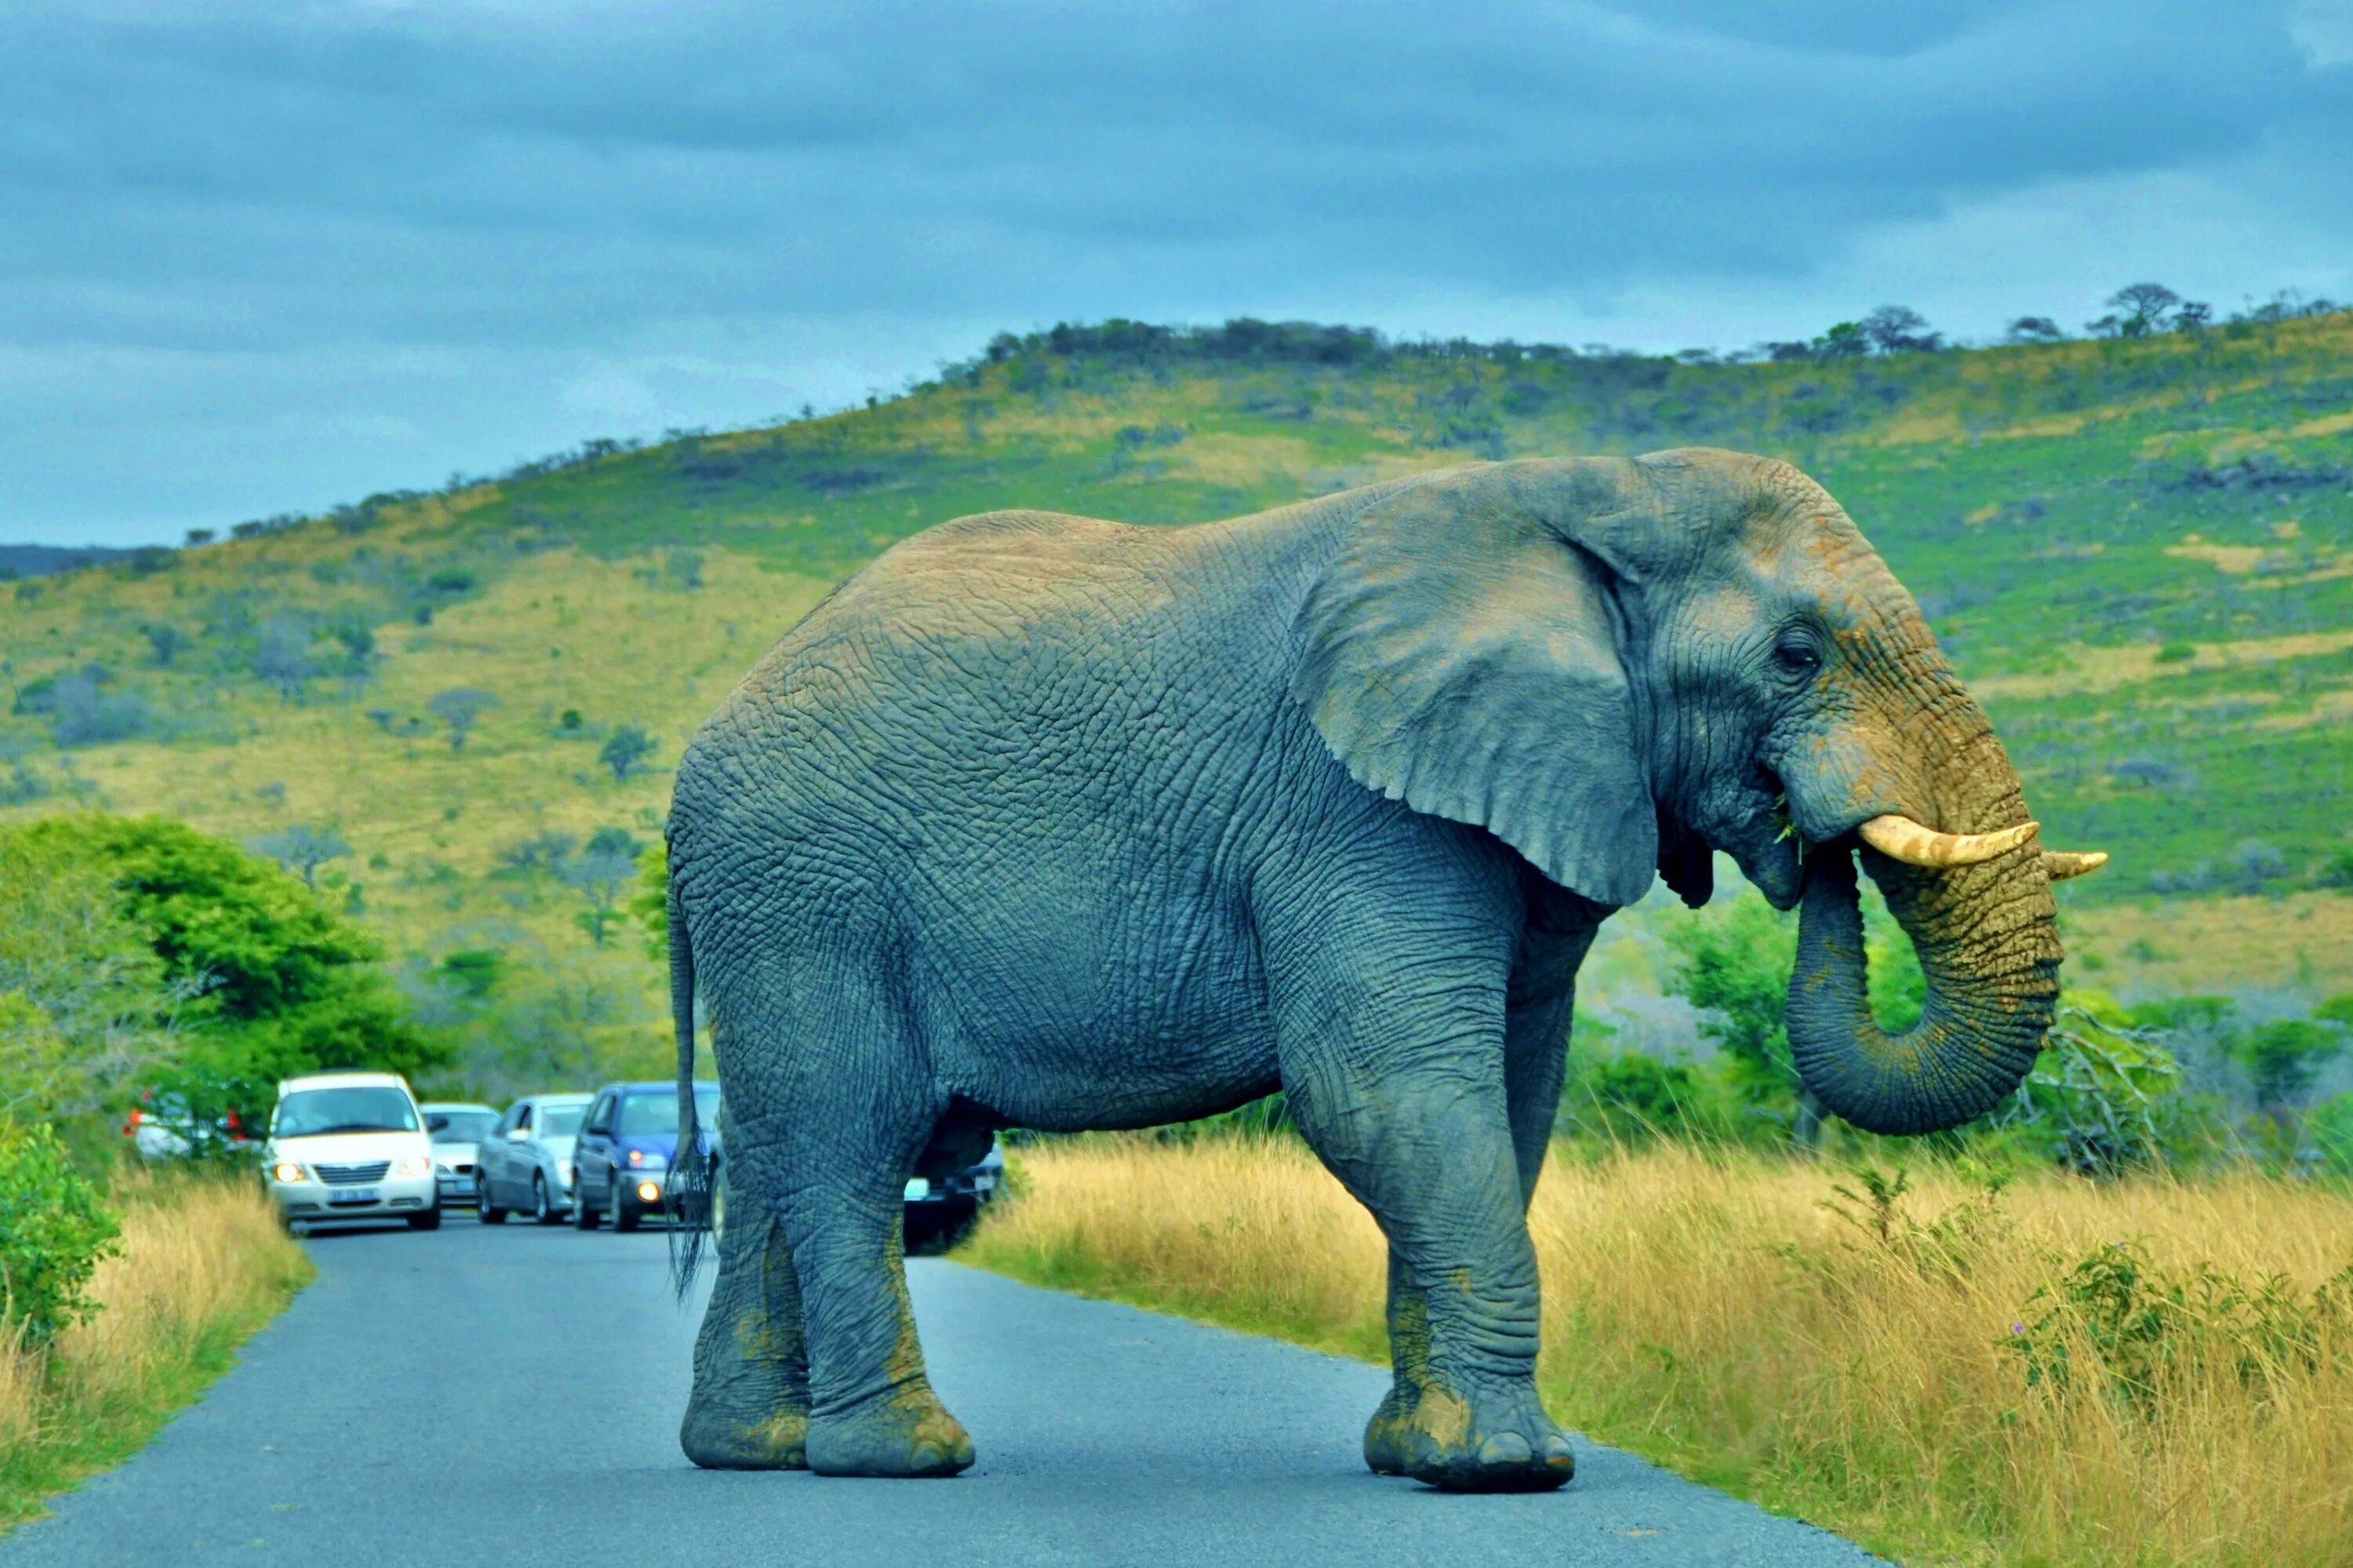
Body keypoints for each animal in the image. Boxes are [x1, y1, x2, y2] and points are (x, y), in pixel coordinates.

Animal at [654, 445, 2108, 1487]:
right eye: (1797, 656)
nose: (1813, 849)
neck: (1591, 489)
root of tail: (693, 762)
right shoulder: (1357, 809)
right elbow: (1385, 1090)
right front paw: (1508, 1468)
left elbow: (1509, 1097)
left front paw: (1422, 1451)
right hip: (809, 891)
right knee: (850, 1139)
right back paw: (903, 1457)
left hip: (770, 904)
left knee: (774, 1150)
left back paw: (752, 1452)